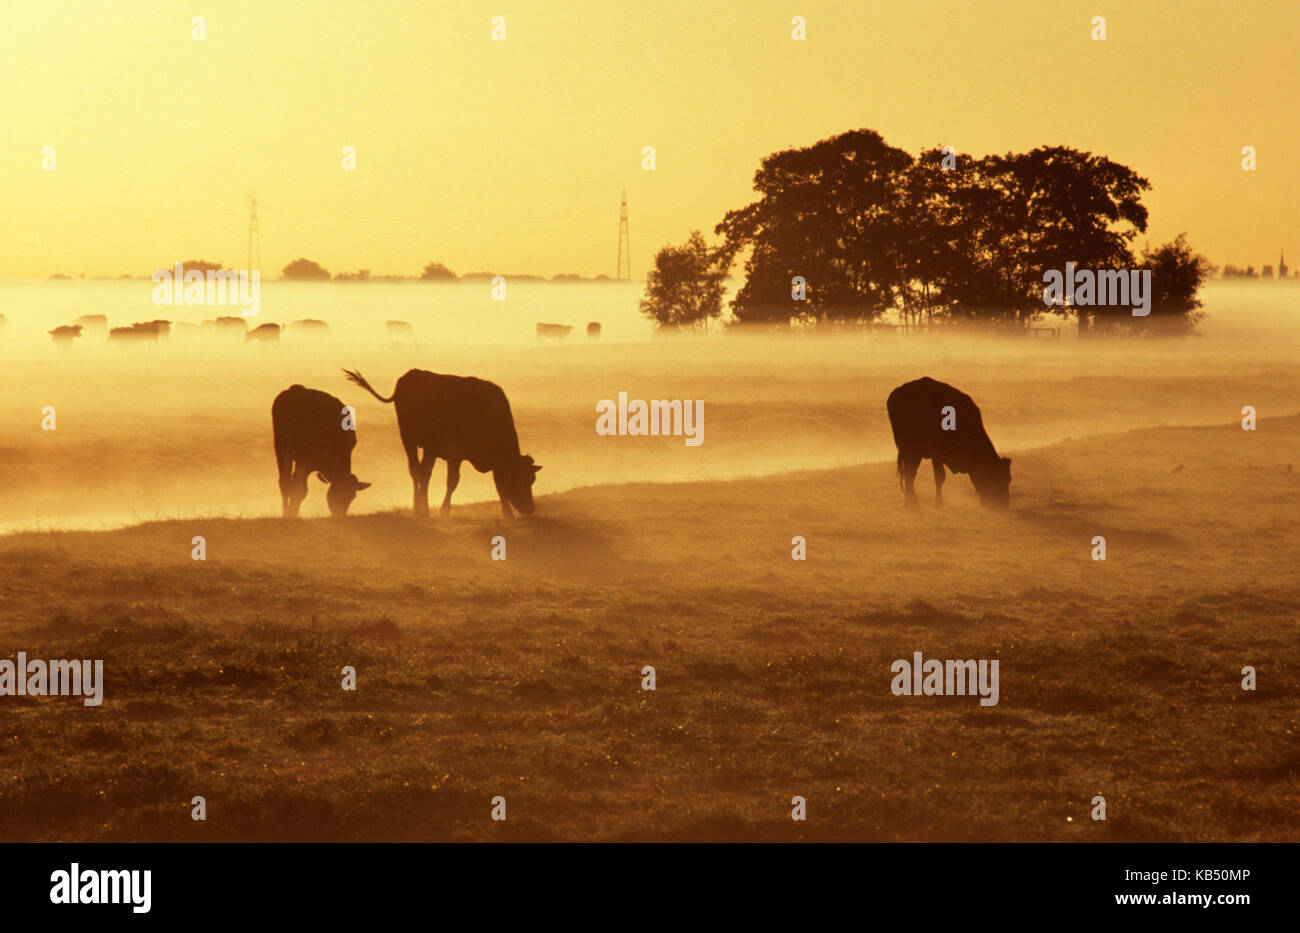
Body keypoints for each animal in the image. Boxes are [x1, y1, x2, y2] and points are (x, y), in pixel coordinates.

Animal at [270, 387, 369, 519]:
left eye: (352, 497)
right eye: (336, 494)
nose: (339, 515)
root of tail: (297, 389)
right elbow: (300, 489)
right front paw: (293, 513)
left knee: (285, 482)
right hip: (292, 450)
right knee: (290, 484)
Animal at [343, 369, 540, 522]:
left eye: (532, 479)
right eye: (521, 480)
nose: (530, 509)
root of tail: (410, 376)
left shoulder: (457, 457)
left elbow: (461, 482)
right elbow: (467, 482)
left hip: (412, 441)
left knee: (415, 469)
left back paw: (418, 506)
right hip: (422, 442)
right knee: (423, 472)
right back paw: (424, 510)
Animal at [889, 379, 1008, 511]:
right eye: (999, 479)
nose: (1004, 505)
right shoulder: (937, 453)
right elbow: (939, 477)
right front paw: (938, 504)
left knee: (907, 474)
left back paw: (909, 503)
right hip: (913, 450)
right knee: (910, 473)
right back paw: (914, 505)